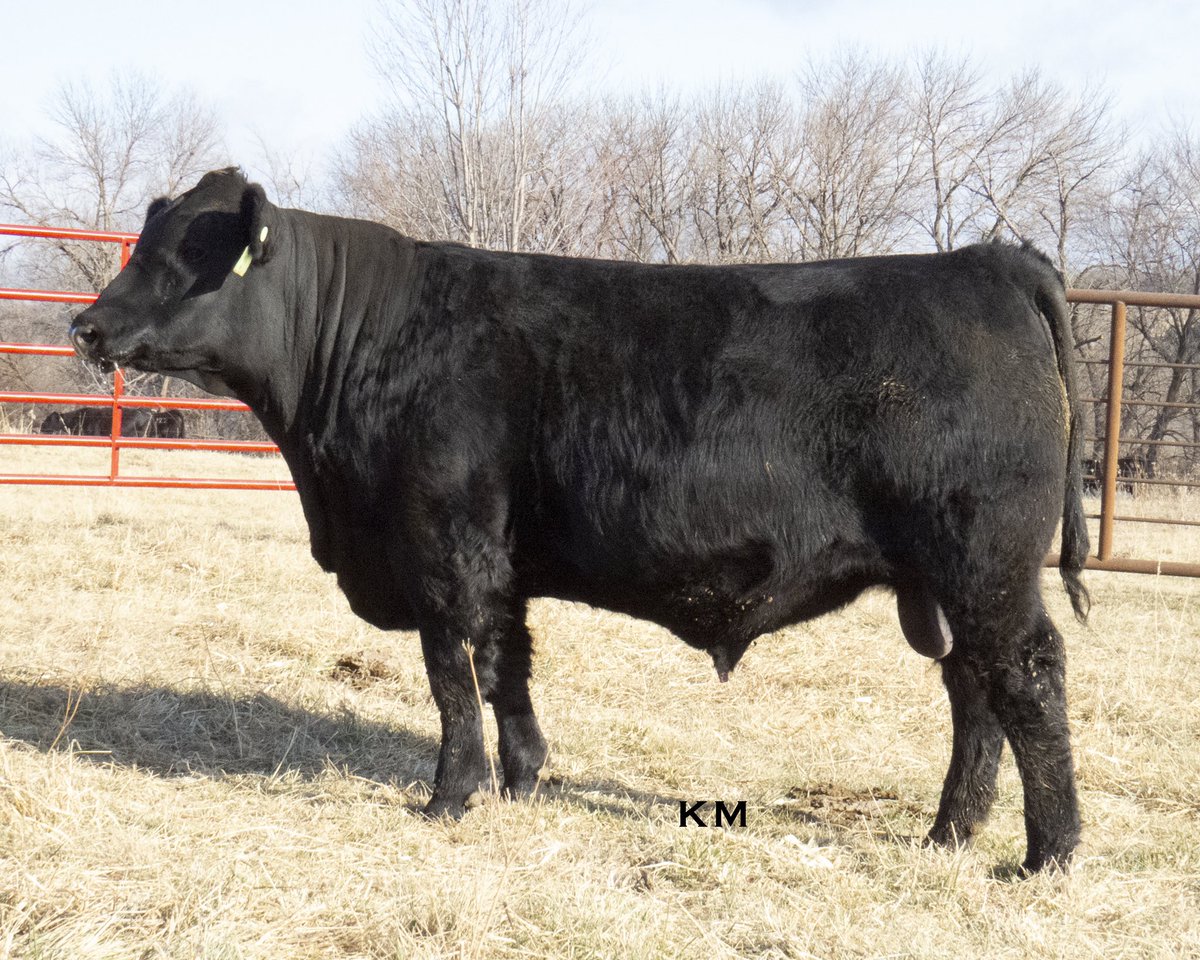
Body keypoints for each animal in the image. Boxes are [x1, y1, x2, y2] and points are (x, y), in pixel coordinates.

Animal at [68, 168, 1090, 873]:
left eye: (186, 257)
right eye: (144, 244)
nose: (85, 327)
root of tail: (988, 260)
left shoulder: (442, 547)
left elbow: (451, 677)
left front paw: (450, 797)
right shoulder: (500, 560)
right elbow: (504, 665)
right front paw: (522, 780)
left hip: (986, 561)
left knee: (1026, 679)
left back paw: (1047, 853)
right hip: (945, 581)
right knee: (973, 691)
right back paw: (948, 835)